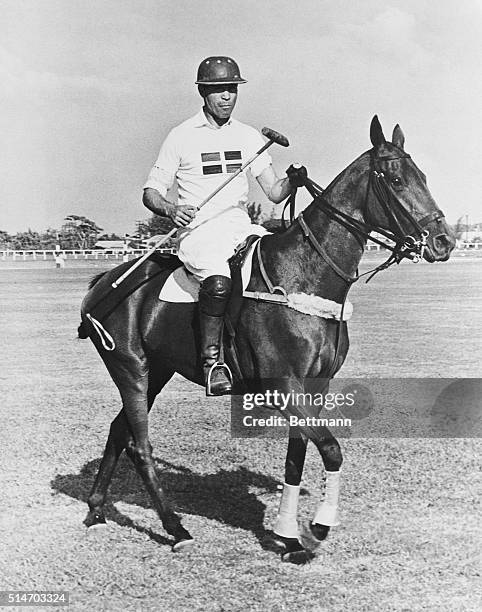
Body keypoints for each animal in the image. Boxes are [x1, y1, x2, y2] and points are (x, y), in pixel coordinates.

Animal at [79, 116, 456, 564]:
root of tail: (103, 281)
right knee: (140, 444)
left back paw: (96, 510)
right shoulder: (282, 385)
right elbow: (331, 449)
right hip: (130, 367)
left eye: (424, 177)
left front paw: (288, 537)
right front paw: (318, 527)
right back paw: (176, 527)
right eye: (396, 180)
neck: (304, 274)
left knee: (119, 430)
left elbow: (298, 456)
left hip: (158, 370)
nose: (444, 242)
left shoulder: (314, 387)